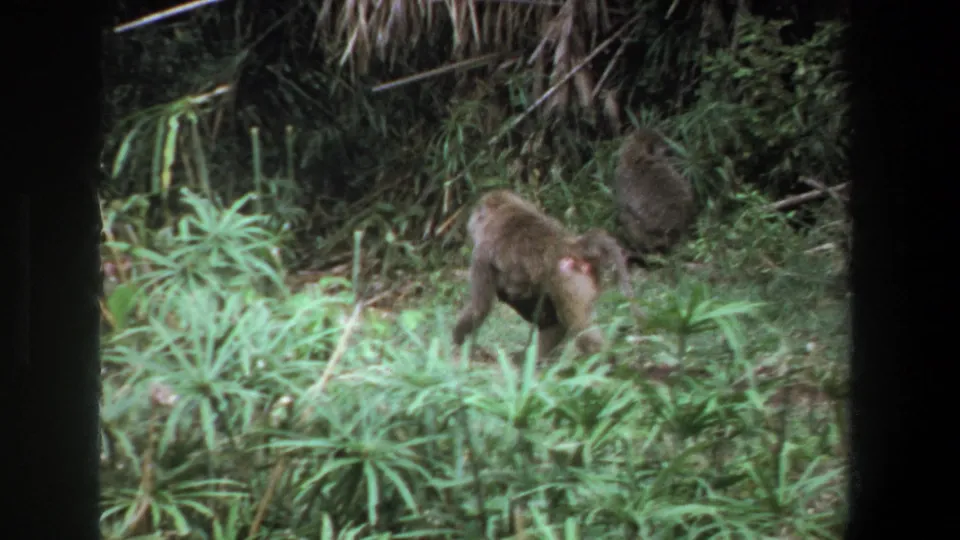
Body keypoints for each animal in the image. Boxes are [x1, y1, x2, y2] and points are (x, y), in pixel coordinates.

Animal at [453, 189, 642, 362]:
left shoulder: (481, 255)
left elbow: (479, 307)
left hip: (567, 279)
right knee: (559, 322)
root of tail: (572, 246)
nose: (469, 225)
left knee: (579, 327)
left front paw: (456, 343)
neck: (504, 210)